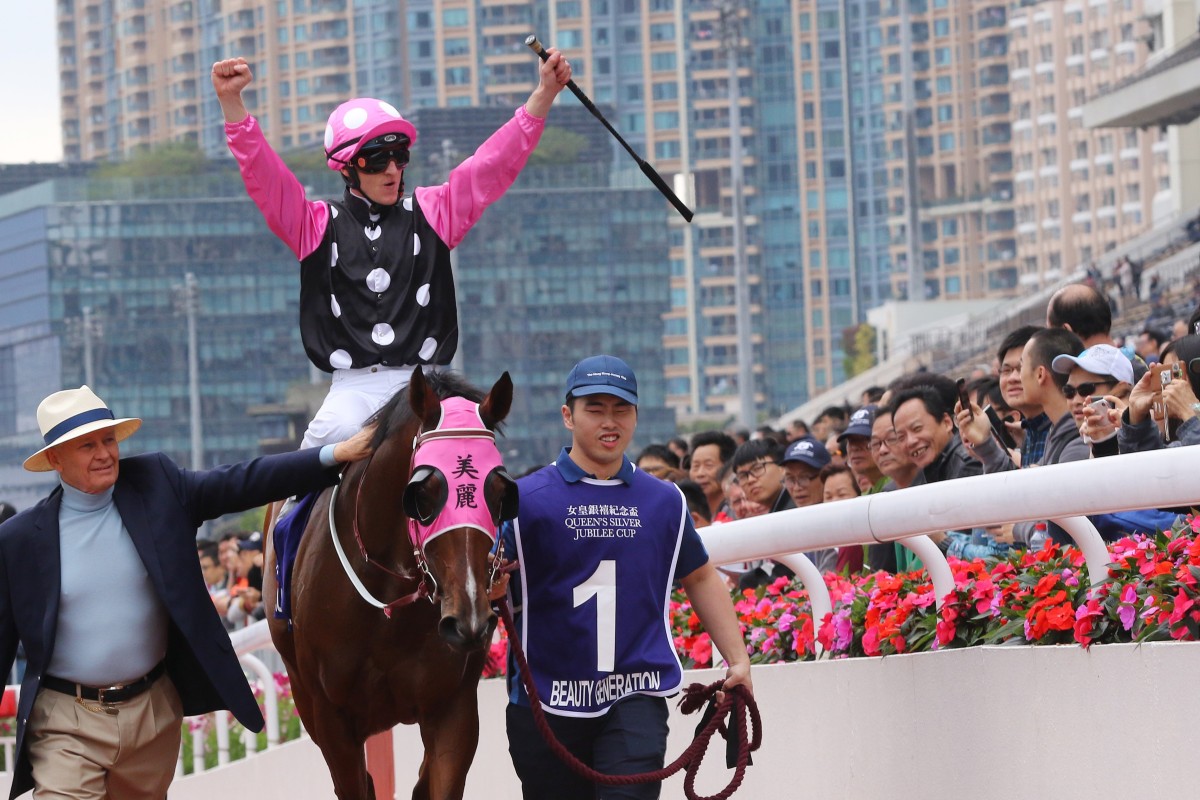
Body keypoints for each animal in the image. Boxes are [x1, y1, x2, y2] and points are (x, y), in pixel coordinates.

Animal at [266, 371, 516, 800]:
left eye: (501, 493)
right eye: (422, 493)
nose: (469, 621)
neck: (387, 607)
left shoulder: (453, 708)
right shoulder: (332, 717)